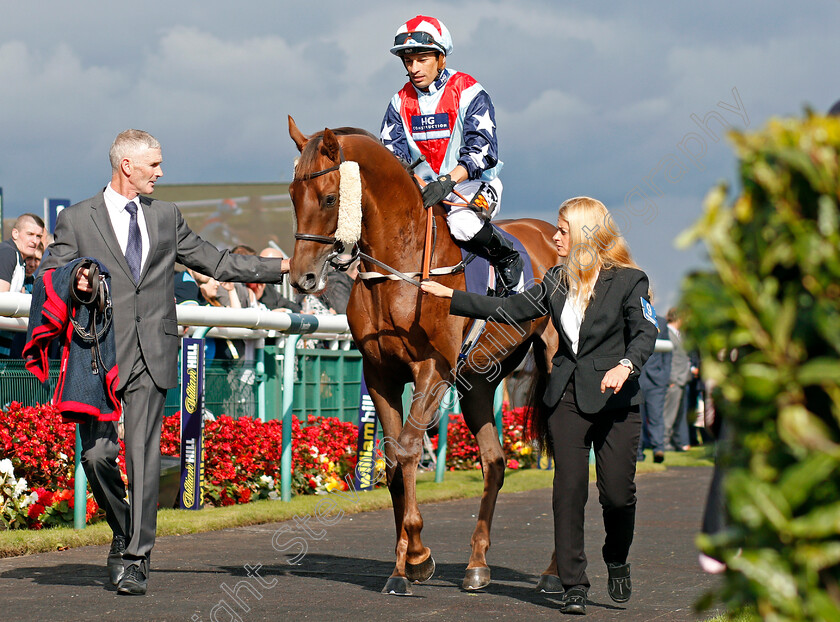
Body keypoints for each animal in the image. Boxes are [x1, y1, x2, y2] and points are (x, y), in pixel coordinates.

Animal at [288, 119, 556, 596]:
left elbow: (411, 448)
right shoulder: (380, 374)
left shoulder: (434, 369)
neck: (400, 266)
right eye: (290, 193)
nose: (302, 278)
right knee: (494, 461)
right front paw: (405, 564)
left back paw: (555, 573)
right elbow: (393, 457)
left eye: (330, 197)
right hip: (481, 380)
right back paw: (477, 564)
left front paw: (416, 555)